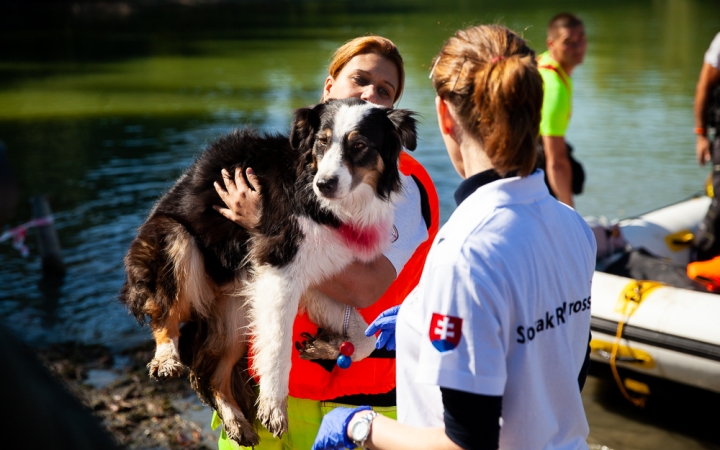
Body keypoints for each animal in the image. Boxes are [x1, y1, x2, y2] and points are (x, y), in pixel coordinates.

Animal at [119, 96, 416, 444]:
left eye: (359, 145)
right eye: (322, 142)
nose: (324, 185)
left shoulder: (314, 277)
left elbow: (366, 335)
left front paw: (324, 346)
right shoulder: (279, 265)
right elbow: (277, 345)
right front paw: (274, 408)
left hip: (238, 308)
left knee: (212, 375)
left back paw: (235, 421)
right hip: (174, 240)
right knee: (166, 314)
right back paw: (166, 358)